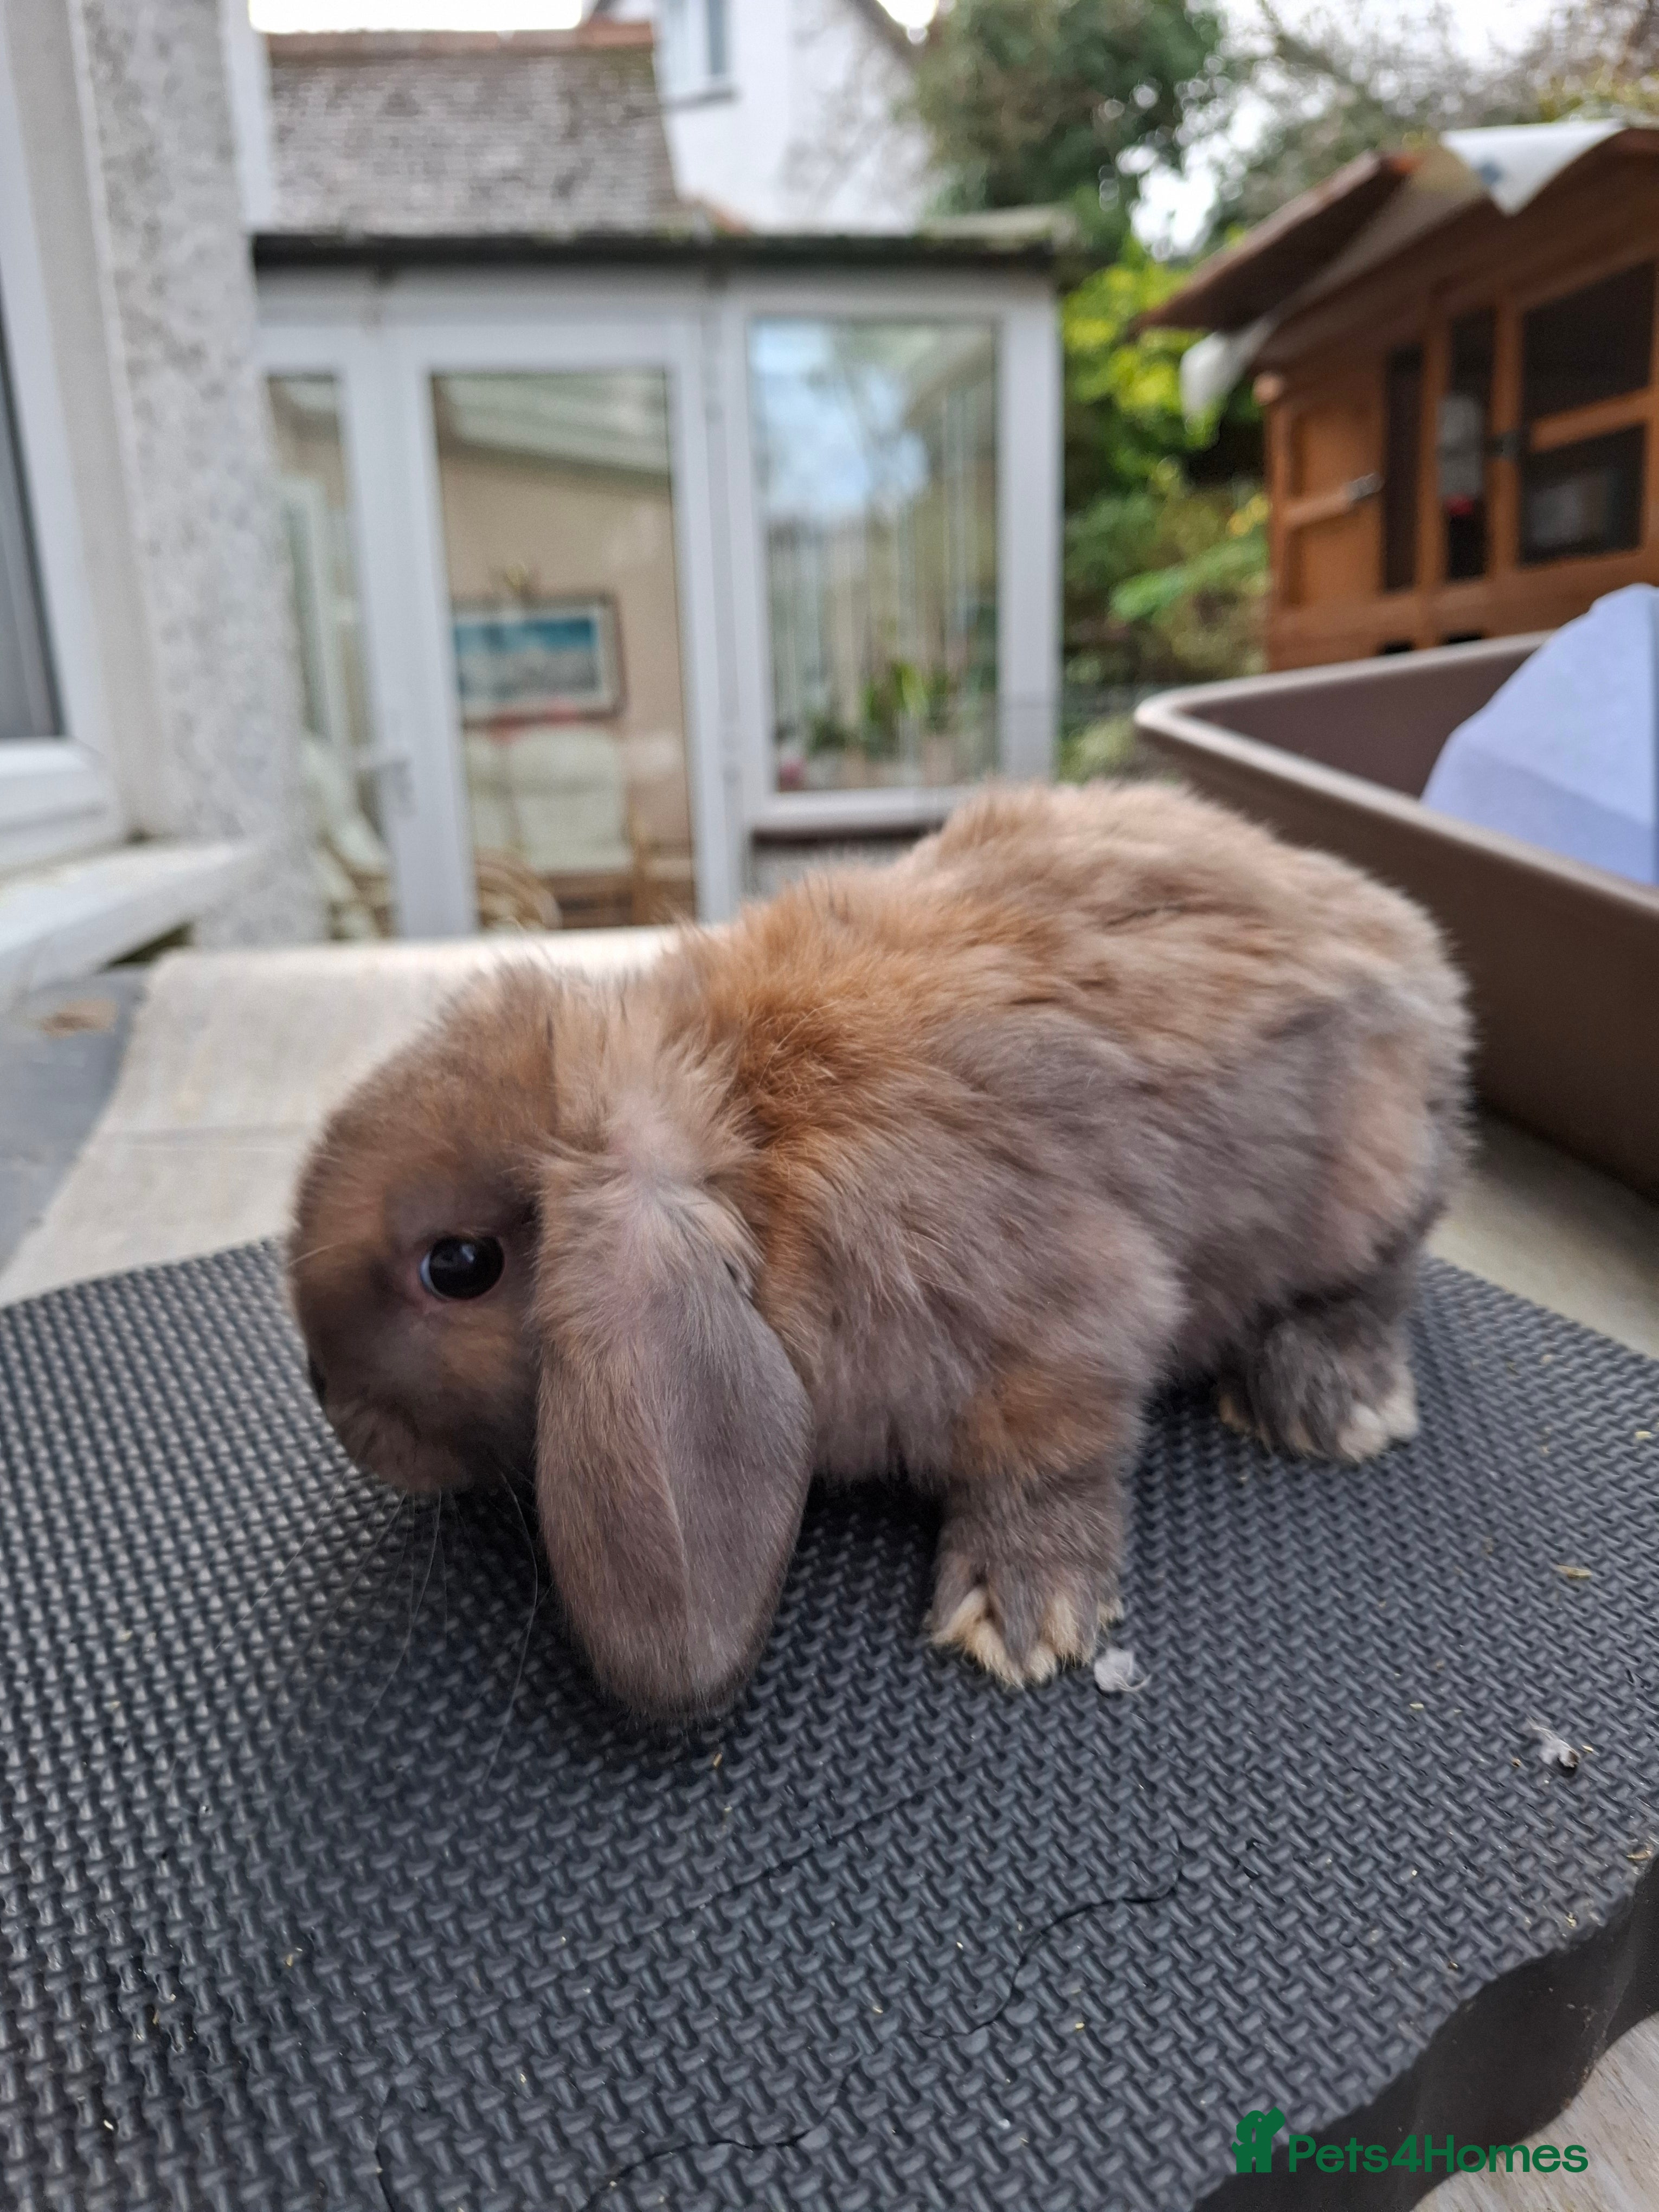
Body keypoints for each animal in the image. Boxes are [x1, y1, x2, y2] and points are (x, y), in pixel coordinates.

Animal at [288, 780, 1471, 1722]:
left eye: (458, 1267)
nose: (328, 1398)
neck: (750, 1141)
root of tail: (1417, 950)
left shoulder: (1068, 1311)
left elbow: (1056, 1448)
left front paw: (1024, 1608)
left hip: (1369, 1169)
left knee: (1388, 1268)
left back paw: (1330, 1398)